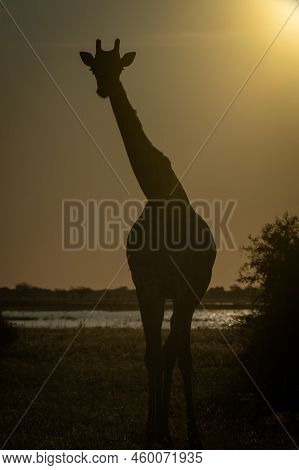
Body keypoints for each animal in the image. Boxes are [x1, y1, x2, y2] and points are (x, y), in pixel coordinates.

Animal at [81, 38, 217, 446]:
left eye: (119, 67)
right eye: (95, 67)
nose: (104, 89)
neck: (158, 194)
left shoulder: (185, 289)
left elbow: (177, 354)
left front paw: (184, 432)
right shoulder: (147, 285)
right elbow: (150, 354)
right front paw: (151, 430)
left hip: (193, 292)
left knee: (179, 349)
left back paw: (185, 430)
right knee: (167, 348)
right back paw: (163, 428)